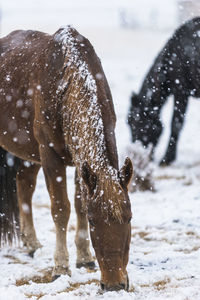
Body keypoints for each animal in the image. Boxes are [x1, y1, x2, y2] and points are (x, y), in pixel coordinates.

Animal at [0, 27, 134, 292]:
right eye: (94, 221)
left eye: (129, 217)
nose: (114, 285)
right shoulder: (50, 156)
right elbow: (61, 209)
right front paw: (61, 267)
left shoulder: (81, 163)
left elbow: (80, 202)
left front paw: (84, 258)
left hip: (28, 155)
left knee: (24, 187)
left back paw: (31, 243)